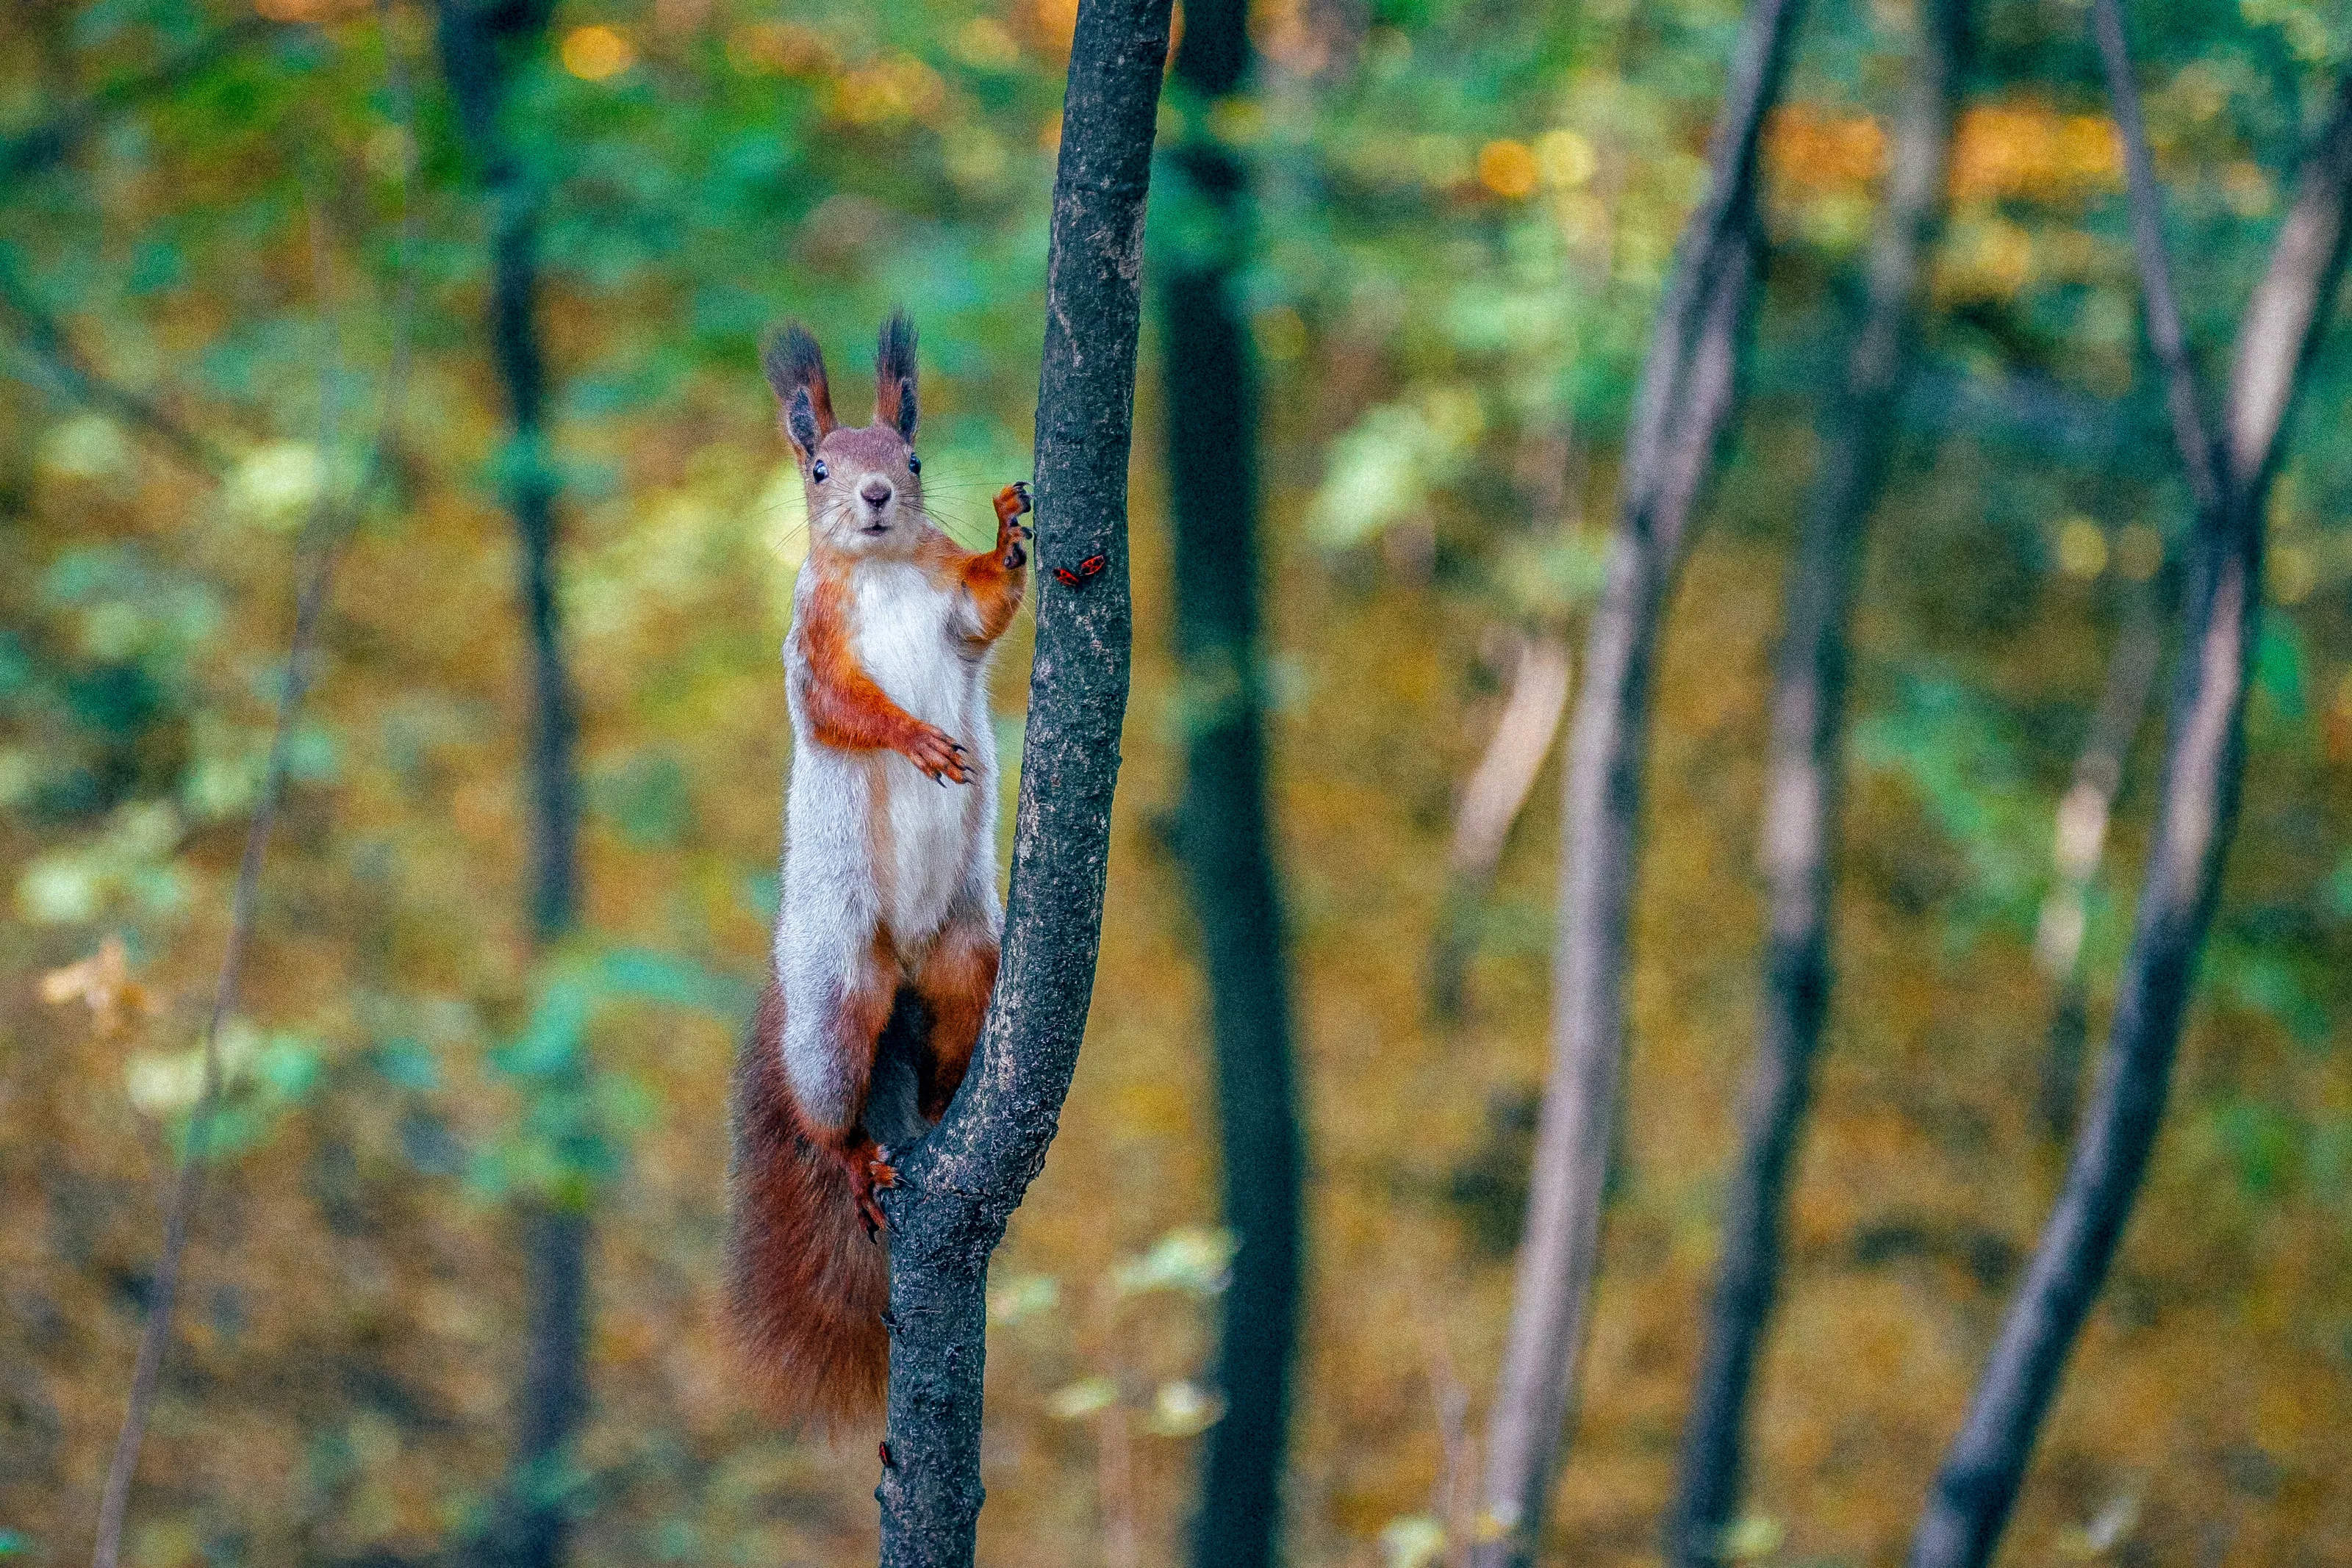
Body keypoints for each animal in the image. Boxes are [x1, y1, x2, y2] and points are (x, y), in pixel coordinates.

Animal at [726, 312, 1032, 1426]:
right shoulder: (813, 648)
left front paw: (1010, 529)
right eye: (818, 466)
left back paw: (942, 1111)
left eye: (912, 458)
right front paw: (917, 742)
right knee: (828, 1110)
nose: (872, 496)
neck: (888, 571)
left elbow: (987, 611)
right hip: (839, 994)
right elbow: (844, 708)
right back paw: (855, 1154)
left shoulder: (951, 604)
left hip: (963, 958)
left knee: (948, 1030)